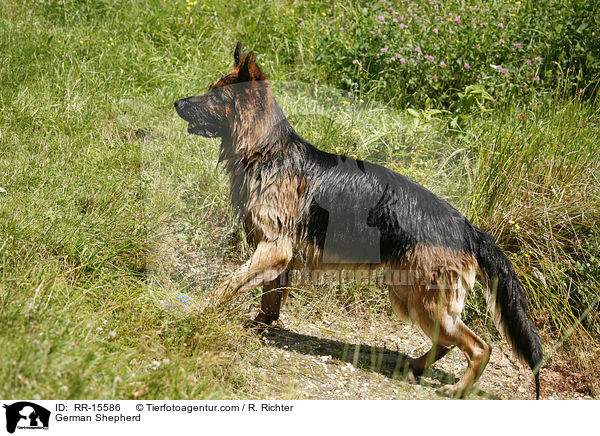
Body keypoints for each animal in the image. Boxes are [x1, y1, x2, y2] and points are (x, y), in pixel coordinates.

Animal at [175, 42, 544, 396]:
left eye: (214, 96)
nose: (176, 102)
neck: (267, 150)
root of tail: (470, 229)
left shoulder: (274, 249)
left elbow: (228, 284)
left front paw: (200, 310)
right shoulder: (279, 259)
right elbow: (270, 299)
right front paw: (259, 326)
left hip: (425, 301)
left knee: (480, 347)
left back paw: (458, 388)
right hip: (409, 295)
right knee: (446, 344)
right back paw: (414, 366)